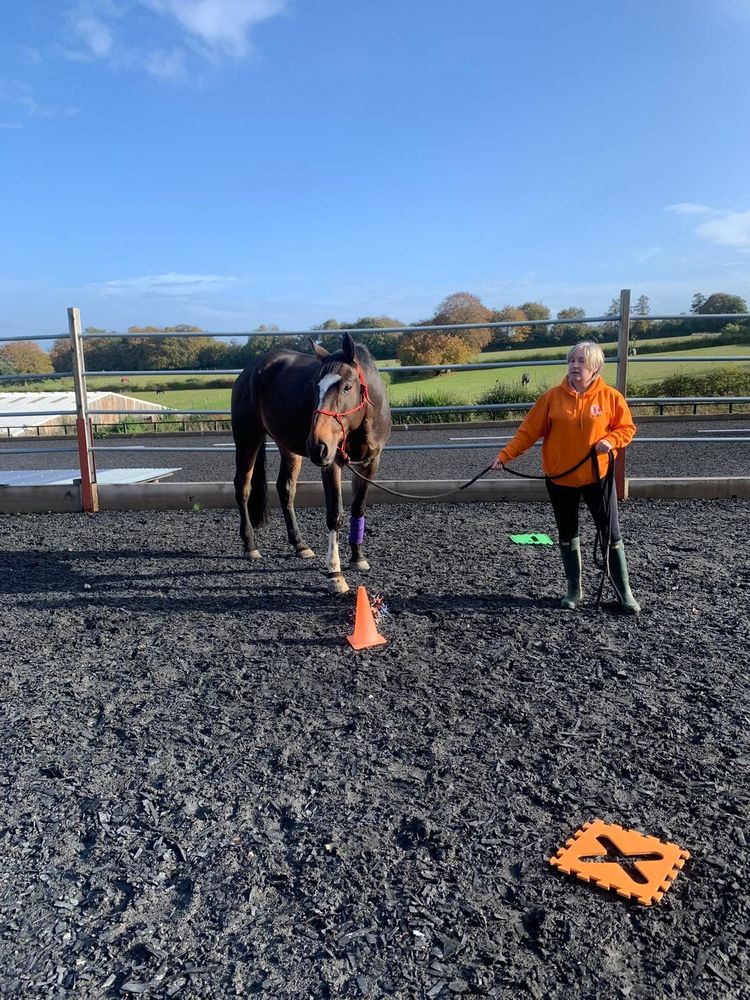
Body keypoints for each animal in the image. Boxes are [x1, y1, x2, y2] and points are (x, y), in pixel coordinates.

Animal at [231, 332, 392, 594]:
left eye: (347, 387)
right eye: (316, 387)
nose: (317, 445)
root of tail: (251, 370)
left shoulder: (370, 463)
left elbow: (358, 507)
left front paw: (357, 558)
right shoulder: (332, 463)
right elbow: (334, 513)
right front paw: (335, 575)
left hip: (288, 448)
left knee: (285, 488)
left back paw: (299, 544)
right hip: (248, 438)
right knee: (242, 487)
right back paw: (250, 545)